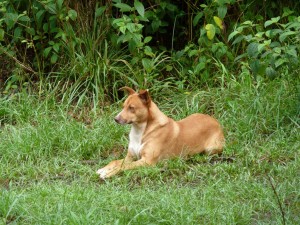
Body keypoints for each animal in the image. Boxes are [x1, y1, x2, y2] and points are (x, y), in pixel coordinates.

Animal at [96, 87, 225, 178]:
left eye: (131, 108)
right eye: (123, 106)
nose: (115, 119)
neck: (141, 130)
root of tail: (215, 121)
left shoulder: (147, 161)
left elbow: (124, 166)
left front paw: (109, 173)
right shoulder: (130, 157)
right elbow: (115, 162)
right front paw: (104, 168)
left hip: (211, 149)